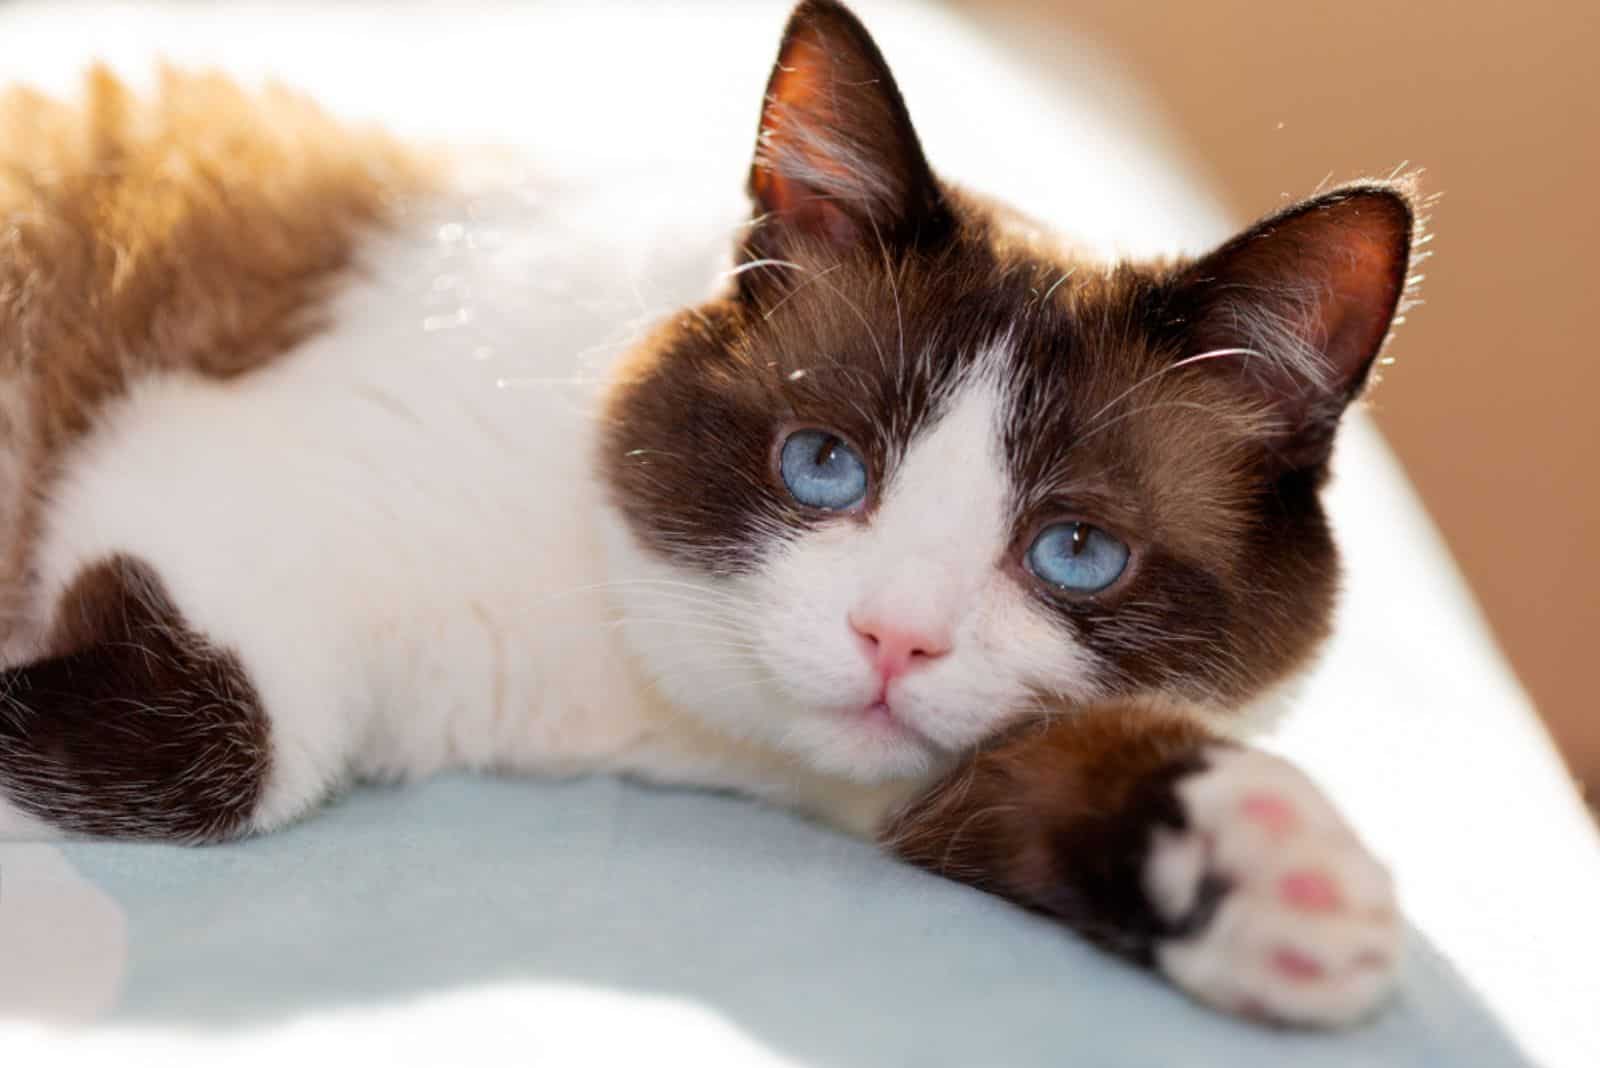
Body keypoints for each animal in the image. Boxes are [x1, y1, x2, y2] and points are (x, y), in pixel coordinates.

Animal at [0, 0, 1427, 1036]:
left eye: (1075, 553)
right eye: (823, 467)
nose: (892, 642)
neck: (617, 700)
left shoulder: (892, 783)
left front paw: (1271, 880)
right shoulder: (205, 473)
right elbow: (222, 754)